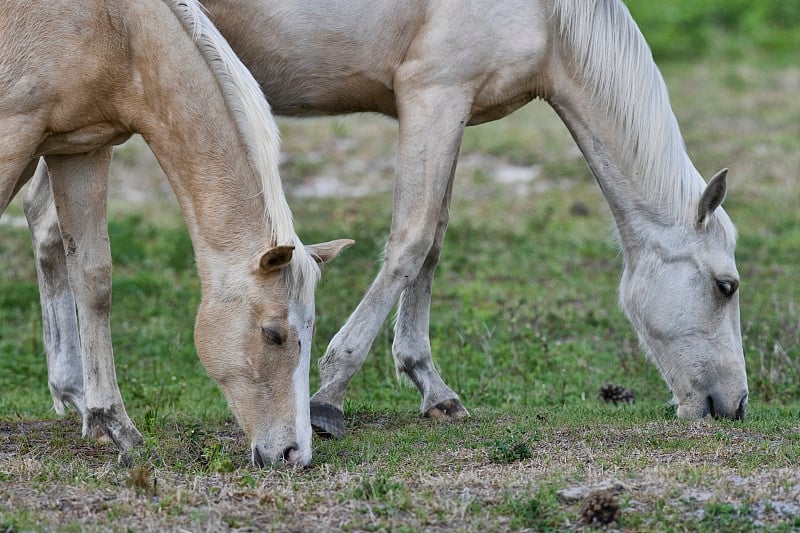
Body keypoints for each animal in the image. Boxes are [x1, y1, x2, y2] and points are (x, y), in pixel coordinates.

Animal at [0, 0, 350, 466]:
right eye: (272, 334)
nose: (295, 453)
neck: (116, 29)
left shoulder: (79, 151)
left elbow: (93, 282)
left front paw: (112, 423)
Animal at [25, 0, 752, 440]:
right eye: (726, 286)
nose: (735, 405)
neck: (551, 18)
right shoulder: (434, 96)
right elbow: (411, 240)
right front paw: (329, 393)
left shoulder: (453, 109)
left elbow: (432, 244)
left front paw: (430, 385)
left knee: (45, 225)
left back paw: (70, 391)